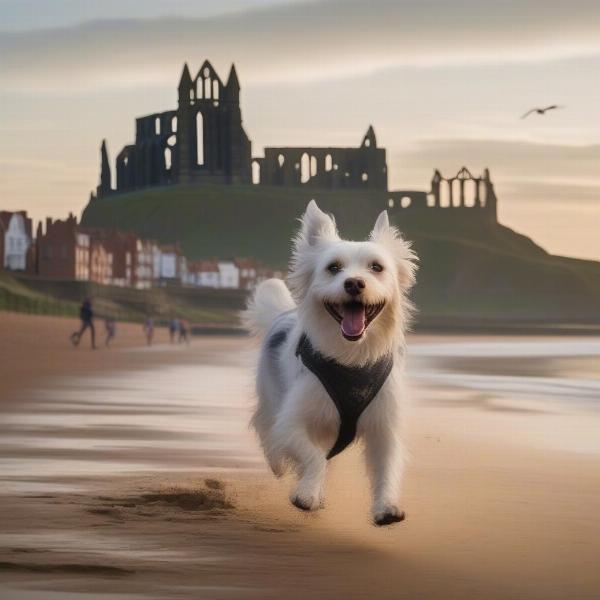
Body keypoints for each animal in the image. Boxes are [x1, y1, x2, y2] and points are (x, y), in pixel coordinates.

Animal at [244, 200, 418, 524]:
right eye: (333, 268)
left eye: (376, 267)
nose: (354, 283)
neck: (351, 356)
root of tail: (283, 314)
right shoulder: (291, 424)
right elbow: (313, 457)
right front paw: (307, 494)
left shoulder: (385, 429)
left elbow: (386, 467)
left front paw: (386, 506)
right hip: (272, 397)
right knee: (266, 428)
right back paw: (279, 463)